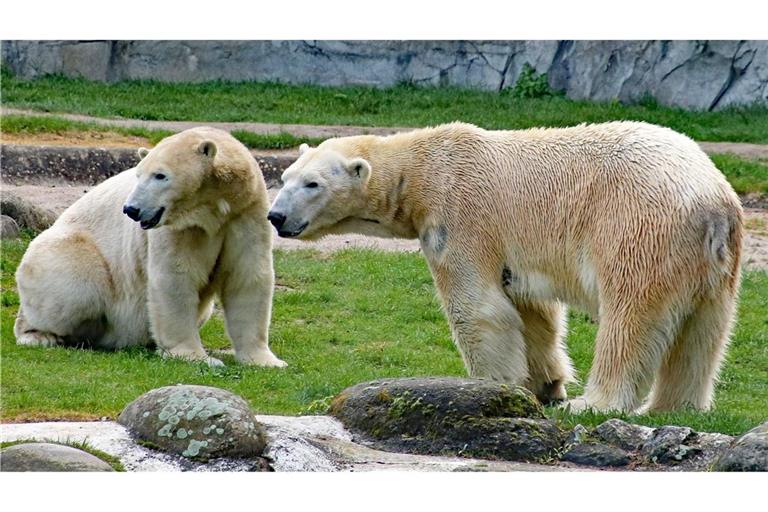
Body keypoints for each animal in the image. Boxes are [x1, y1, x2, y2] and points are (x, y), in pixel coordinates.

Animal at [14, 127, 284, 368]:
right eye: (138, 175)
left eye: (160, 175)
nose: (131, 209)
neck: (213, 210)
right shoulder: (179, 230)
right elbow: (175, 277)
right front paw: (197, 357)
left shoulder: (246, 214)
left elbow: (247, 277)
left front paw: (267, 361)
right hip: (69, 252)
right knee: (73, 287)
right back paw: (39, 334)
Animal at [270, 120, 744, 412]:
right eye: (285, 177)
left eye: (312, 184)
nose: (276, 216)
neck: (423, 168)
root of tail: (712, 201)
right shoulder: (513, 254)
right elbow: (533, 312)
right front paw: (546, 384)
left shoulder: (461, 216)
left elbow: (478, 308)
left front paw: (496, 386)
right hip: (714, 263)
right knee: (705, 332)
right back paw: (673, 405)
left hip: (638, 229)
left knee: (630, 318)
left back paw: (595, 403)